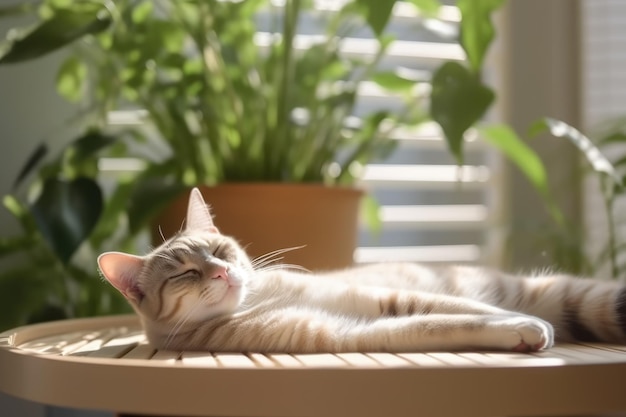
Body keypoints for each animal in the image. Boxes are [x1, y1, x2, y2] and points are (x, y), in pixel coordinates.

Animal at [96, 187, 624, 352]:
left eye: (221, 250)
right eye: (184, 273)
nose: (222, 273)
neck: (264, 298)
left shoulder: (384, 298)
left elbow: (463, 306)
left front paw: (521, 322)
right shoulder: (347, 334)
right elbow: (442, 323)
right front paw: (521, 329)